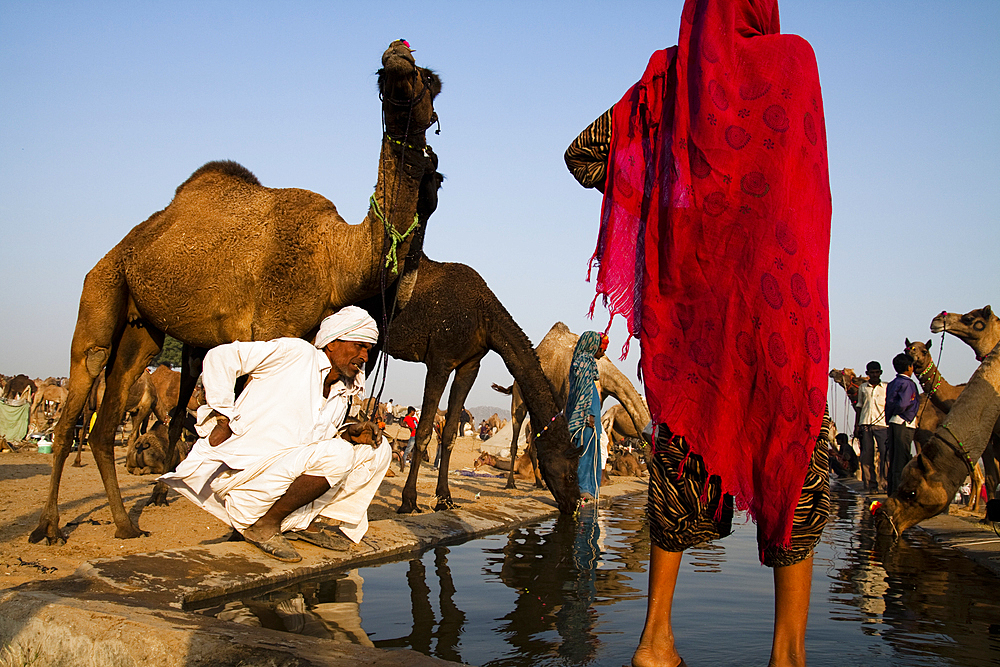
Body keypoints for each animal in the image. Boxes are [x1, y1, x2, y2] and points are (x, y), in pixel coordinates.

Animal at [30, 39, 442, 544]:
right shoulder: (267, 325)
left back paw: (126, 524)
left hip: (140, 326)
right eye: (387, 72)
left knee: (107, 419)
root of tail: (124, 247)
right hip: (103, 286)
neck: (334, 257)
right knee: (84, 379)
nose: (397, 54)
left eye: (427, 77)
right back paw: (49, 526)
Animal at [494, 322, 652, 490]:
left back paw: (539, 483)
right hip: (519, 398)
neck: (603, 371)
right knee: (515, 436)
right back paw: (510, 483)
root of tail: (513, 384)